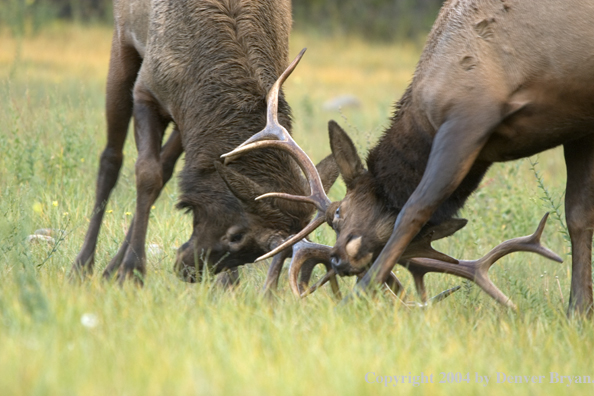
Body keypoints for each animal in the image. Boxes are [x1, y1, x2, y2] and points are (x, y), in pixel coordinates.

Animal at [69, 0, 338, 286]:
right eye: (237, 235)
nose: (189, 270)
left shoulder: (190, 118)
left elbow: (163, 174)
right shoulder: (146, 89)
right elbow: (146, 174)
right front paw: (131, 271)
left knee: (164, 168)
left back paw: (108, 267)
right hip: (122, 43)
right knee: (111, 158)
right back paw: (82, 265)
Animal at [222, 0, 588, 316]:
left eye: (338, 213)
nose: (339, 259)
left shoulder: (468, 116)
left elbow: (413, 211)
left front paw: (356, 298)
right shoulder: (579, 129)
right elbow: (578, 216)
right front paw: (578, 313)